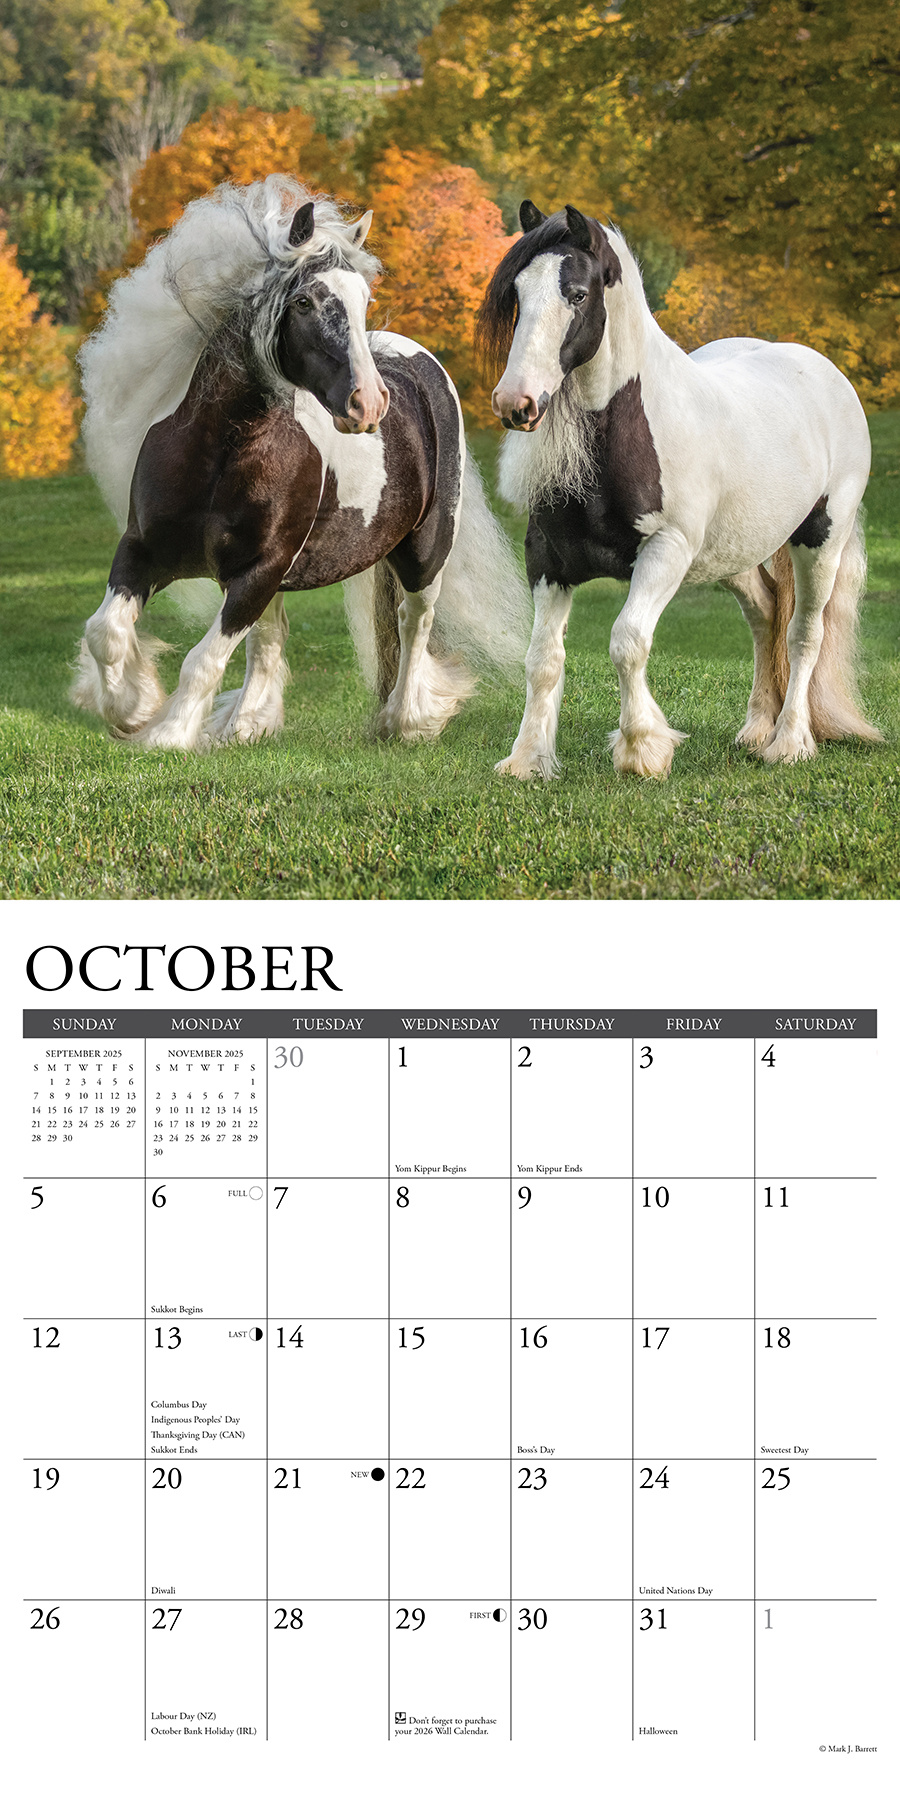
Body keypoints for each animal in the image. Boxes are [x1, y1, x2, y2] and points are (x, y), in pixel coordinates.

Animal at [74, 176, 528, 751]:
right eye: (307, 301)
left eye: (363, 299)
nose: (368, 404)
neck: (220, 453)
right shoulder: (145, 548)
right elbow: (106, 631)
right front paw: (131, 711)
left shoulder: (261, 568)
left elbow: (202, 660)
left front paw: (168, 735)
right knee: (271, 638)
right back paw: (247, 725)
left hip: (425, 552)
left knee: (413, 624)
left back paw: (402, 721)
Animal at [476, 200, 882, 779]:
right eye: (517, 295)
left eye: (576, 294)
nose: (516, 402)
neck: (625, 433)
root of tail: (824, 371)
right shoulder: (548, 561)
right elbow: (542, 659)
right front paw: (528, 758)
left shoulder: (664, 552)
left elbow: (627, 642)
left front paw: (642, 748)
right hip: (733, 554)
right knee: (765, 616)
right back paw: (757, 729)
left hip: (821, 540)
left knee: (805, 633)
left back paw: (789, 742)